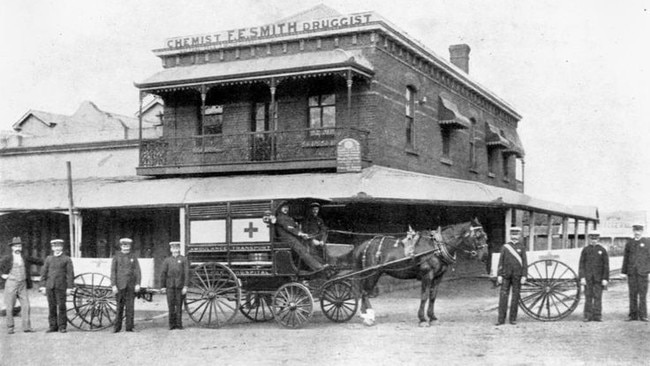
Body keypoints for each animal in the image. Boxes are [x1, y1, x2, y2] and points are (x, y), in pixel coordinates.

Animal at [350, 219, 486, 328]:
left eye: (485, 236)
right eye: (478, 235)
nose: (484, 256)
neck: (436, 248)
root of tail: (364, 245)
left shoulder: (438, 277)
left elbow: (433, 296)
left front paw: (433, 318)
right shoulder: (427, 275)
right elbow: (424, 296)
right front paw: (422, 320)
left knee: (363, 292)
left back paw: (364, 314)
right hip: (373, 273)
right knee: (365, 292)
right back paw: (369, 318)